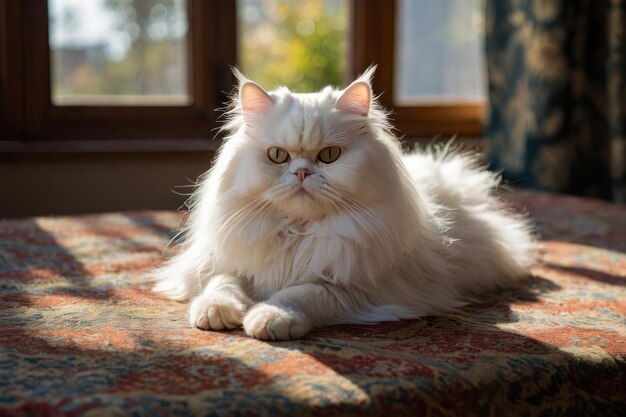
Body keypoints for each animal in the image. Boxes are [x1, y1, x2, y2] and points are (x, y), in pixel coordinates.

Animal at [151, 68, 532, 340]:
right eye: (278, 156)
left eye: (329, 156)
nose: (302, 172)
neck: (297, 235)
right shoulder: (225, 262)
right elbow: (223, 285)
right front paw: (215, 314)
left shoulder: (355, 287)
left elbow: (298, 294)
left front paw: (268, 318)